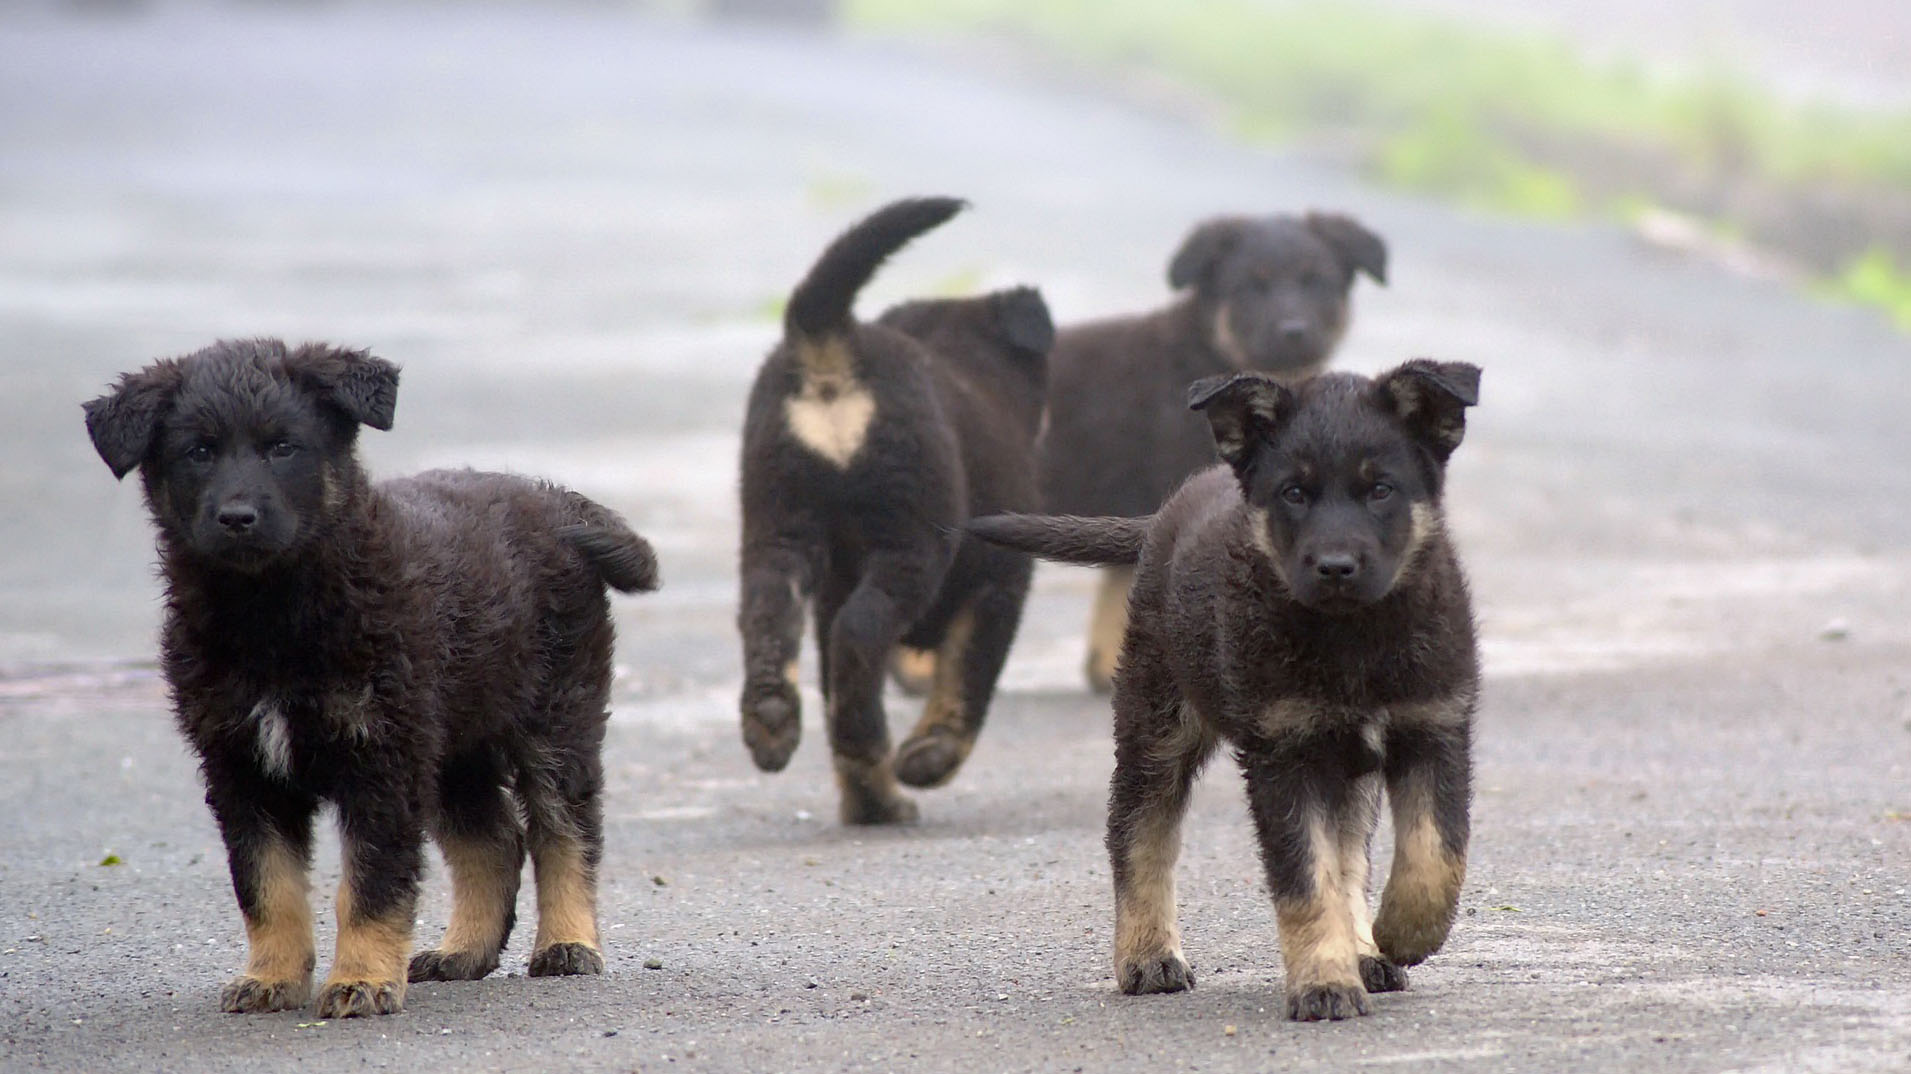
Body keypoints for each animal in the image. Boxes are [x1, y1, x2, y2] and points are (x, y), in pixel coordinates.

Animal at [82, 338, 661, 1016]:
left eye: (284, 447)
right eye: (197, 452)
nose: (237, 517)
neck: (273, 613)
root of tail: (557, 500)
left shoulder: (380, 756)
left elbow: (371, 883)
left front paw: (361, 979)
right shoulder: (240, 766)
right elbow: (266, 886)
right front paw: (272, 977)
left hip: (555, 716)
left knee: (565, 830)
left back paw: (568, 944)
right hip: (453, 743)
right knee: (494, 841)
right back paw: (463, 951)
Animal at [733, 196, 1062, 821]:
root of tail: (832, 343)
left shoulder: (831, 588)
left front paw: (870, 801)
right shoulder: (1001, 583)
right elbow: (967, 679)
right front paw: (928, 758)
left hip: (778, 523)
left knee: (772, 613)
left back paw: (773, 721)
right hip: (910, 539)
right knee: (862, 632)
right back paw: (869, 741)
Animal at [970, 355, 1475, 1016]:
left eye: (1381, 490)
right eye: (1294, 492)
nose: (1335, 567)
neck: (1353, 639)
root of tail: (1163, 517)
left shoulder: (1435, 726)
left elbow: (1434, 853)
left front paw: (1398, 934)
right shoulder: (1282, 752)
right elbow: (1305, 880)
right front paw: (1324, 984)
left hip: (1341, 768)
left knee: (1349, 854)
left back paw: (1365, 950)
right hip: (1158, 723)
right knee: (1139, 830)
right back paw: (1148, 955)